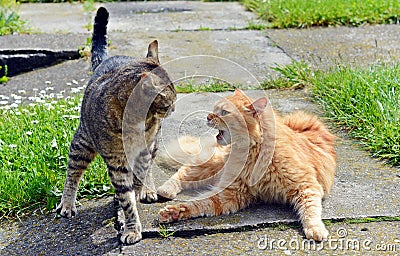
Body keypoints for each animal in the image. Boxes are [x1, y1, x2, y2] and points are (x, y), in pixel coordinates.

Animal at [57, 7, 176, 244]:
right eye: (170, 99)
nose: (175, 106)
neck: (135, 122)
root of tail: (108, 59)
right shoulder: (116, 162)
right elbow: (126, 200)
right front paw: (132, 228)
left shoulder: (144, 149)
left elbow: (140, 175)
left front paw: (140, 190)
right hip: (82, 143)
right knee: (72, 173)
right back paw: (67, 203)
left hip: (154, 143)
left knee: (148, 166)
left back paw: (147, 189)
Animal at [158, 90, 336, 242]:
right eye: (214, 109)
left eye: (224, 112)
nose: (208, 117)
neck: (253, 153)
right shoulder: (230, 192)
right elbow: (197, 203)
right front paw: (173, 212)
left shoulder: (305, 186)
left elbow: (310, 210)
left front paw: (315, 229)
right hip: (213, 166)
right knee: (183, 171)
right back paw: (165, 190)